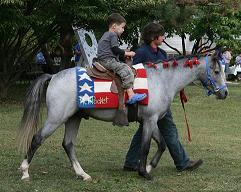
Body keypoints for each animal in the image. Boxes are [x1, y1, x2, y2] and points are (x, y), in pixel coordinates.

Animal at [18, 51, 228, 180]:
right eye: (217, 71)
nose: (224, 93)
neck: (161, 80)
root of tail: (53, 76)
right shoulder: (150, 120)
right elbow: (145, 146)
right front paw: (144, 172)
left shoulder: (151, 121)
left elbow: (162, 144)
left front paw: (148, 167)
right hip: (56, 118)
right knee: (37, 139)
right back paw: (25, 171)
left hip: (73, 118)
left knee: (68, 144)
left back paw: (82, 174)